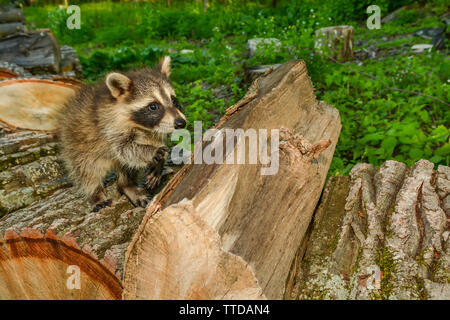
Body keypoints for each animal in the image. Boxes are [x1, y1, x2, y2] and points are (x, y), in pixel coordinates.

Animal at [56, 57, 186, 212]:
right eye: (153, 106)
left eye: (174, 100)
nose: (181, 123)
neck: (142, 126)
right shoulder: (108, 127)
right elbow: (124, 148)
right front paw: (151, 151)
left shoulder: (155, 130)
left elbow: (154, 143)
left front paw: (159, 162)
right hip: (76, 145)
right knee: (87, 171)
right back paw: (95, 193)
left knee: (127, 167)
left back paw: (126, 185)